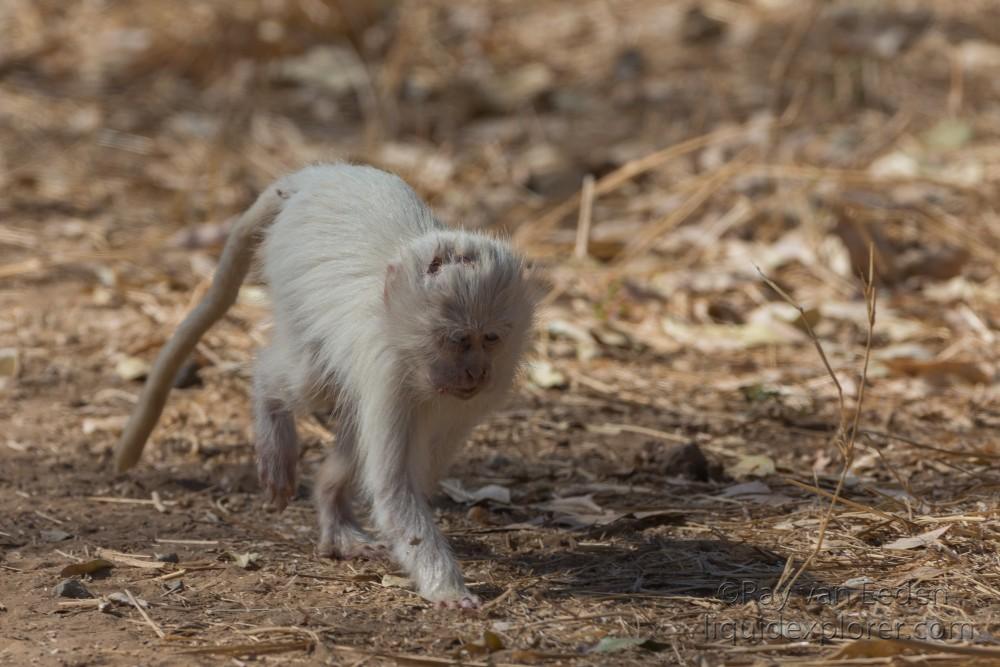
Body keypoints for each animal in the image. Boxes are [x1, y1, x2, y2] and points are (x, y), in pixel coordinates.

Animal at [113, 164, 544, 608]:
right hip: (288, 271)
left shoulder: (475, 394)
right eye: (458, 339)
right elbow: (394, 490)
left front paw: (334, 499)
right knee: (307, 380)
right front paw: (446, 586)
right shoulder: (387, 373)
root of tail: (317, 174)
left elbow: (419, 456)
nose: (475, 372)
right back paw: (269, 407)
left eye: (490, 338)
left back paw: (332, 509)